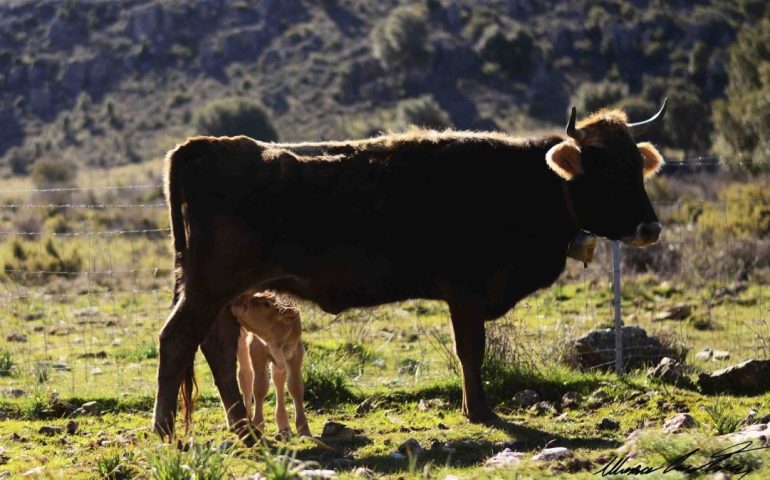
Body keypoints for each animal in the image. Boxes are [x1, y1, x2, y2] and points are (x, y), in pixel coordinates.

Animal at [231, 290, 308, 436]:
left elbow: (295, 387)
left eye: (266, 304)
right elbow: (260, 387)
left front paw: (304, 430)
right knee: (245, 375)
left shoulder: (296, 352)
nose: (240, 302)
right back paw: (247, 417)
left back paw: (283, 425)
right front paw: (258, 424)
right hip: (241, 340)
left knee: (278, 378)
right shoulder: (256, 349)